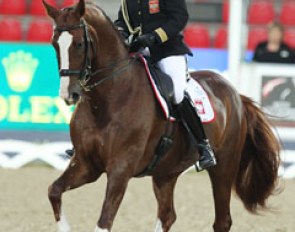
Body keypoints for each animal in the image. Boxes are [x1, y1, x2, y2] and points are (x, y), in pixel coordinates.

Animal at [42, 0, 280, 231]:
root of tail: (236, 94)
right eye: (54, 44)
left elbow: (103, 223)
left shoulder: (121, 169)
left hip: (224, 166)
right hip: (166, 172)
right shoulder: (86, 164)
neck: (107, 100)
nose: (69, 94)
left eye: (79, 44)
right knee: (167, 216)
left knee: (222, 221)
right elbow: (53, 191)